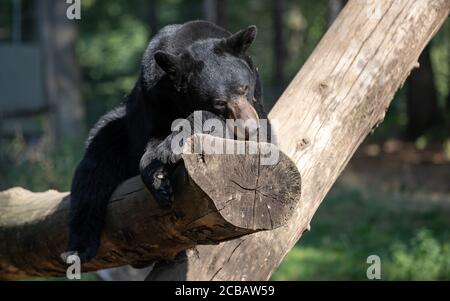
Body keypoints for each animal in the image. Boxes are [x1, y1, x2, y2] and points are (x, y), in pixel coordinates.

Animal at [63, 20, 272, 262]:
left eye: (244, 88)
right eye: (219, 102)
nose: (249, 128)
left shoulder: (258, 104)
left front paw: (171, 149)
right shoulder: (153, 97)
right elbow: (153, 139)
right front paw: (159, 176)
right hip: (117, 130)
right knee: (94, 171)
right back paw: (77, 250)